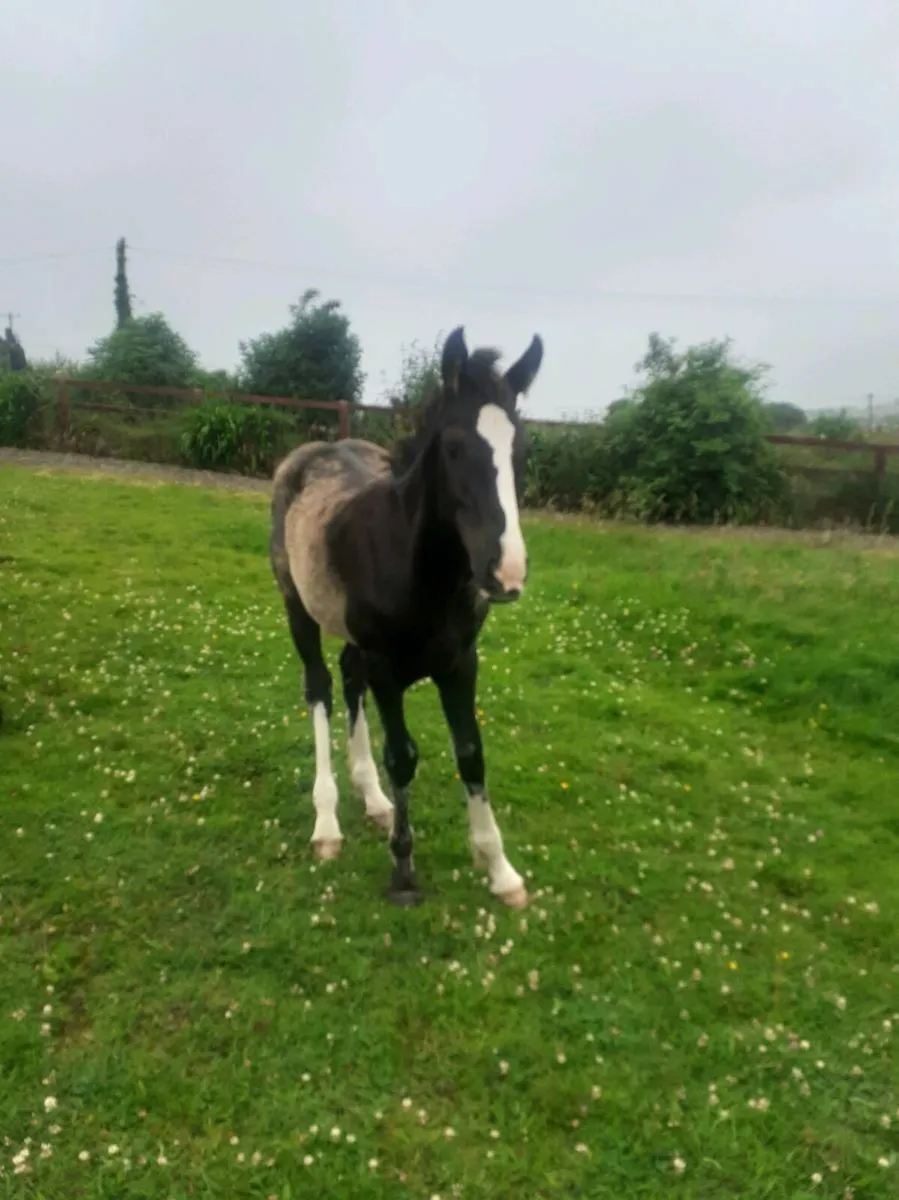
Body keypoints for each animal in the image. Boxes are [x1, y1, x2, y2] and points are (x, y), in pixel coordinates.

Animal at [270, 326, 544, 907]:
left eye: (522, 449)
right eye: (455, 446)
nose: (505, 573)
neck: (421, 573)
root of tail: (312, 451)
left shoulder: (462, 662)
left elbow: (471, 753)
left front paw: (501, 871)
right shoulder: (387, 666)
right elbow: (403, 755)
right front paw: (403, 873)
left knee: (348, 677)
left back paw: (373, 799)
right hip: (298, 608)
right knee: (320, 686)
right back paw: (327, 823)